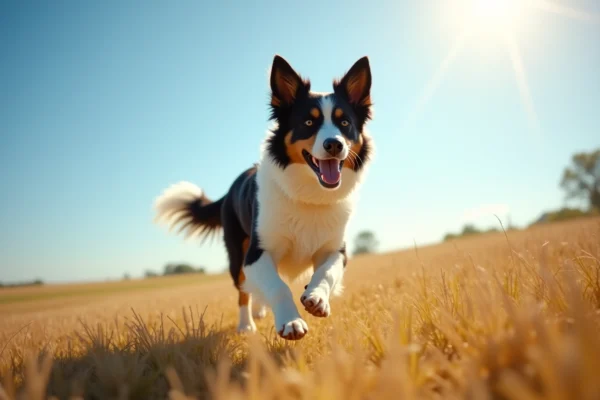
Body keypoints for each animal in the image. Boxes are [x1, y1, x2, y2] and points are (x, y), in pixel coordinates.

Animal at [152, 54, 372, 340]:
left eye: (344, 123)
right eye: (308, 123)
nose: (334, 144)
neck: (309, 195)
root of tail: (230, 189)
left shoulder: (335, 248)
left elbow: (326, 273)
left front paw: (317, 298)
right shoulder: (257, 252)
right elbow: (277, 286)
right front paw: (291, 321)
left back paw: (260, 310)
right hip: (237, 255)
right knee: (243, 290)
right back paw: (246, 324)